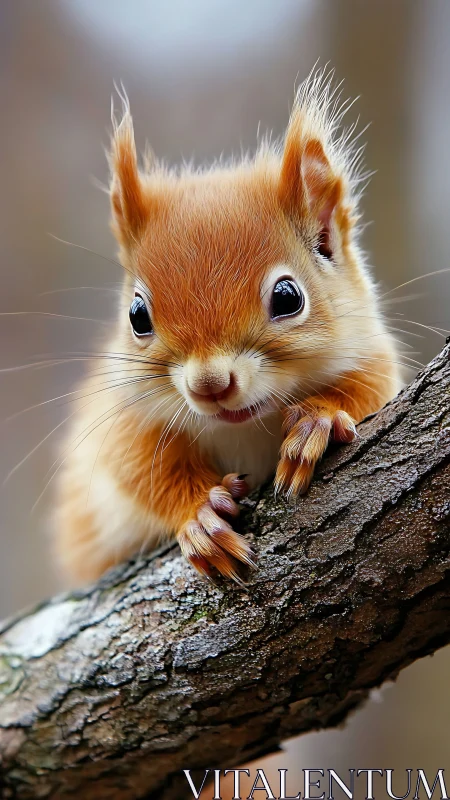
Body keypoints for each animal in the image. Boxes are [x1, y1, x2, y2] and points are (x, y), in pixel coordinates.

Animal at [54, 69, 400, 585]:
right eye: (137, 316)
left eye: (288, 298)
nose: (210, 385)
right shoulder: (122, 411)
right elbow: (139, 466)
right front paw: (200, 516)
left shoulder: (372, 354)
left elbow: (371, 387)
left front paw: (318, 419)